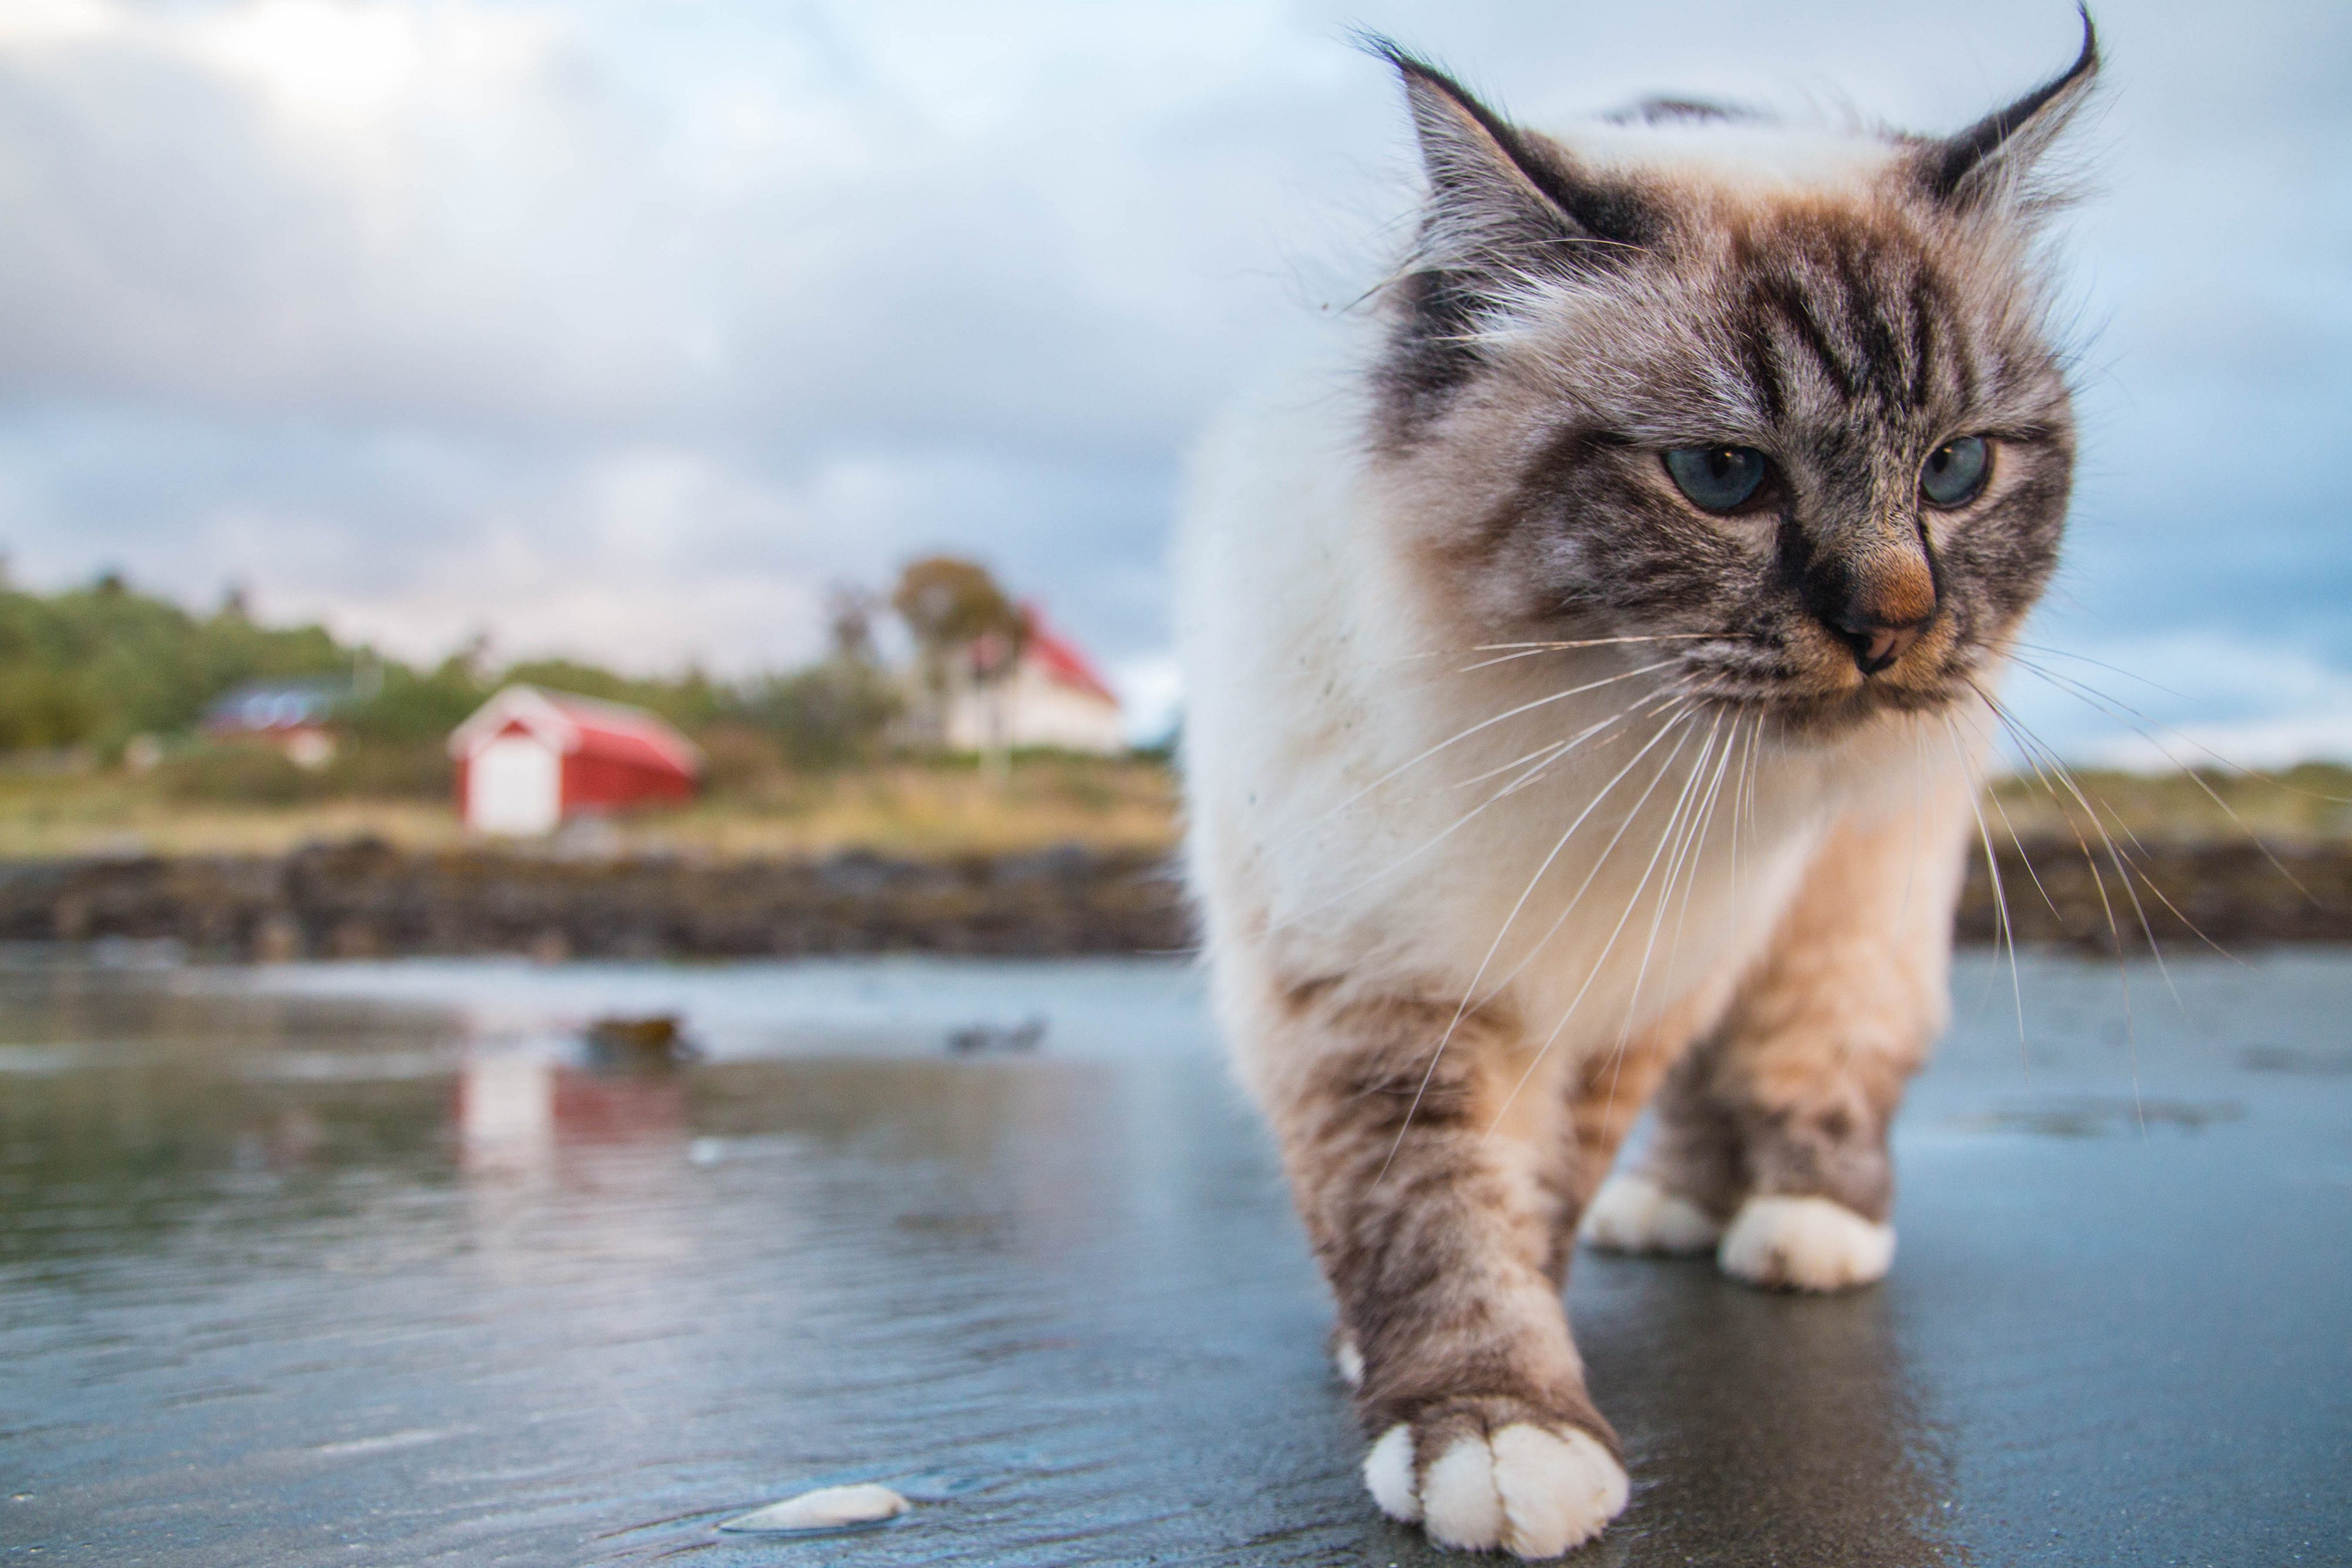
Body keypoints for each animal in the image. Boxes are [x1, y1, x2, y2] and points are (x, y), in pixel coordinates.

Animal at [1171, 15, 2098, 1561]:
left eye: (1956, 469)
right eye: (1720, 476)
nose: (1891, 628)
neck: (1583, 731)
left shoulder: (1642, 974)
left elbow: (1538, 1187)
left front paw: (1506, 1418)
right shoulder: (1367, 976)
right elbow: (1427, 1217)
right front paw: (1488, 1428)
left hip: (1851, 878)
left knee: (1815, 1050)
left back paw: (1797, 1230)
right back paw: (1671, 1210)